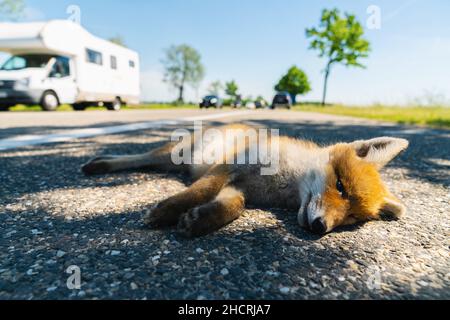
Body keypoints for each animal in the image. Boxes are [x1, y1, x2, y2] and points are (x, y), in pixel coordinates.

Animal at [82, 124, 410, 238]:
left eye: (351, 217)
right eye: (340, 186)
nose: (321, 227)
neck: (281, 182)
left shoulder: (239, 189)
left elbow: (233, 207)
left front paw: (198, 221)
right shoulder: (229, 166)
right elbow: (199, 191)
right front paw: (165, 211)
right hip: (176, 153)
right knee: (140, 157)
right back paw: (100, 164)